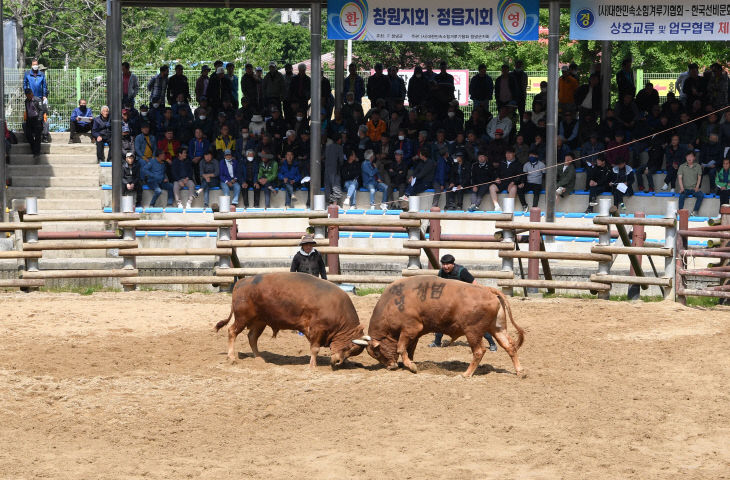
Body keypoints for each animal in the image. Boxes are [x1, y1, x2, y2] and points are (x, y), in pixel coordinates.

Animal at [213, 274, 366, 368]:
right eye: (351, 347)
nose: (339, 361)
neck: (336, 307)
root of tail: (242, 282)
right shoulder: (317, 330)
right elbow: (315, 349)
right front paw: (312, 366)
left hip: (260, 322)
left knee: (252, 337)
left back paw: (259, 358)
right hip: (242, 318)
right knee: (232, 332)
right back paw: (232, 357)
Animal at [352, 276, 524, 376]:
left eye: (376, 352)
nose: (391, 367)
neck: (392, 304)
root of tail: (488, 290)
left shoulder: (410, 329)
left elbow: (401, 348)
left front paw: (411, 366)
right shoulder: (415, 334)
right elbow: (410, 350)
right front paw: (409, 364)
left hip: (473, 332)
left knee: (479, 351)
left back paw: (466, 374)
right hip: (498, 328)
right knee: (510, 346)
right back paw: (520, 371)